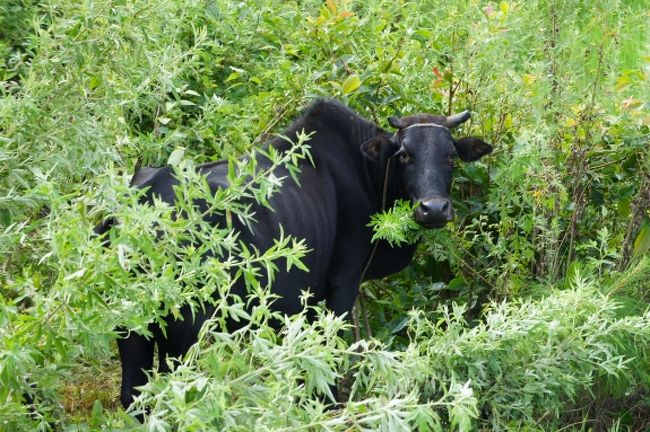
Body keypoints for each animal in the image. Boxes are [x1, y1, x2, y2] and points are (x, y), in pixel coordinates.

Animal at [97, 99, 492, 410]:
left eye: (451, 156)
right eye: (405, 155)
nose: (434, 209)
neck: (365, 171)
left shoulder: (306, 297)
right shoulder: (343, 284)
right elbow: (331, 352)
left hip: (132, 326)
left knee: (133, 396)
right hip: (184, 327)